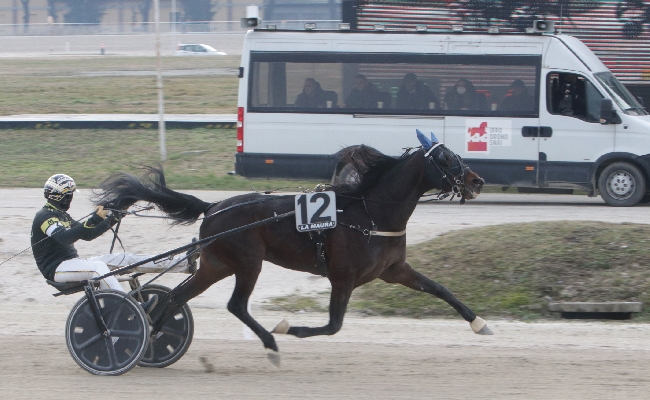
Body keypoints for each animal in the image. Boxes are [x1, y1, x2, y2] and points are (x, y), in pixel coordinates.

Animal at [93, 133, 492, 354]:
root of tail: (214, 206)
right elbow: (333, 325)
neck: (370, 213)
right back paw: (269, 342)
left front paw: (480, 324)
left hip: (216, 264)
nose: (477, 180)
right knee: (235, 305)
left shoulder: (394, 270)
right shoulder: (343, 277)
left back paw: (150, 335)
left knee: (176, 296)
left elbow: (440, 289)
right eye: (445, 158)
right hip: (248, 263)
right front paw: (292, 329)